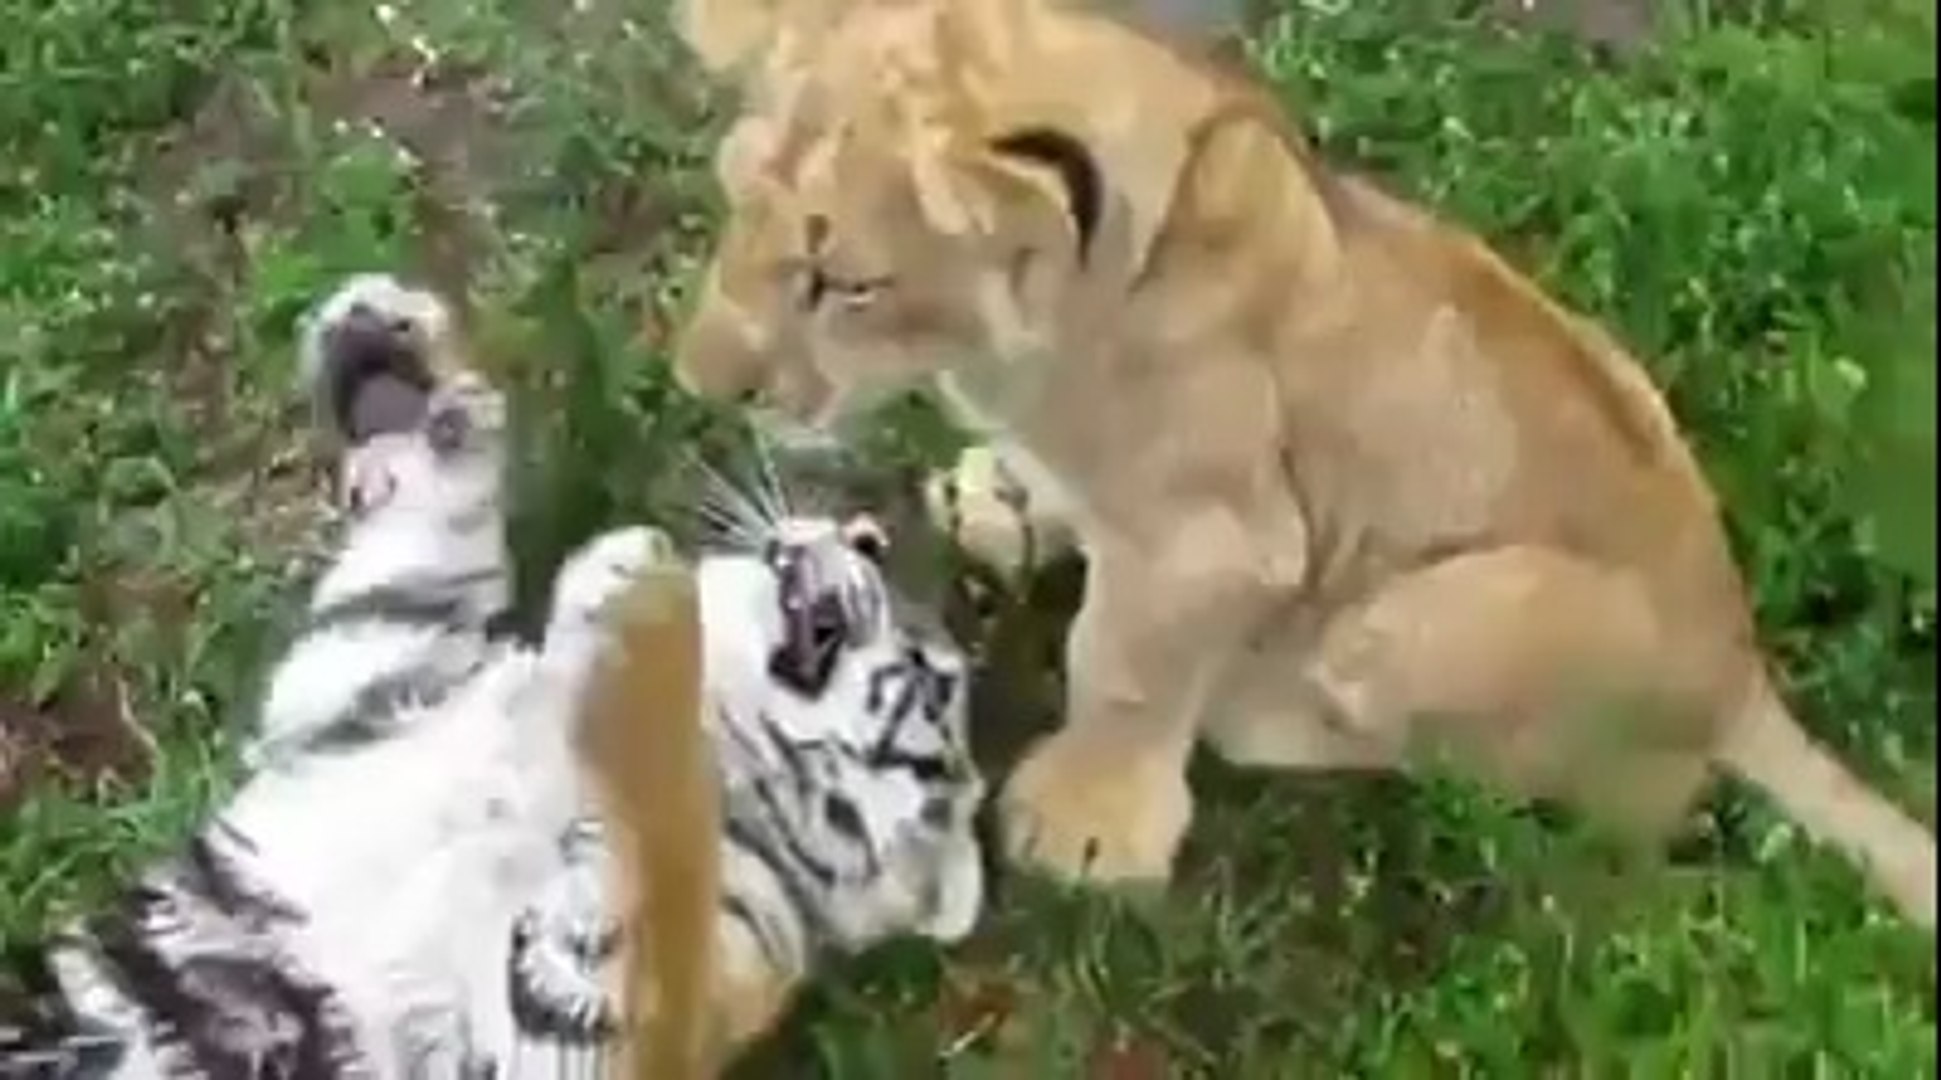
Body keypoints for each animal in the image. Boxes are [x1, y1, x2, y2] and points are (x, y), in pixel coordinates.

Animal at [0, 272, 986, 1078]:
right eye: (870, 544)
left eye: (930, 673)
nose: (846, 548)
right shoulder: (351, 700)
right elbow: (411, 568)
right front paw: (391, 338)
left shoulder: (611, 1029)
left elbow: (662, 848)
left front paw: (636, 579)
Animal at [661, 0, 1936, 928]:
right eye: (731, 209)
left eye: (843, 283)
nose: (697, 381)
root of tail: (1744, 672)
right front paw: (1007, 506)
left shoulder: (1218, 541)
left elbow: (1121, 662)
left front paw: (1086, 825)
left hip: (1439, 620)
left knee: (1603, 791)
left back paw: (1260, 703)